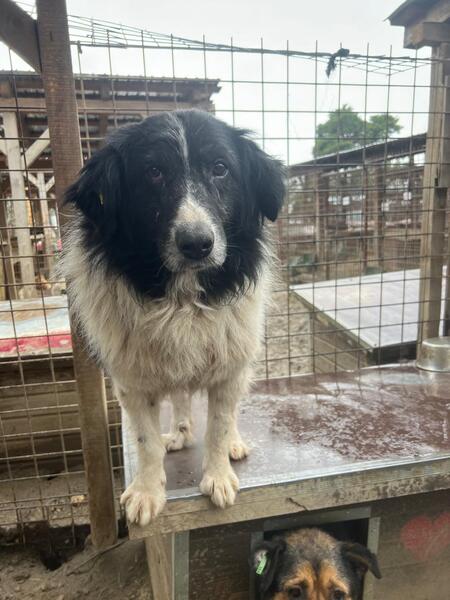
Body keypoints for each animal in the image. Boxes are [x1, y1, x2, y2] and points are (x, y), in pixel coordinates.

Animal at [60, 109, 285, 525]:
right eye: (153, 172)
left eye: (220, 168)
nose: (197, 244)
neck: (182, 298)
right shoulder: (131, 381)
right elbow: (145, 441)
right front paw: (148, 492)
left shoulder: (230, 366)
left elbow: (218, 425)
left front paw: (218, 476)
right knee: (180, 400)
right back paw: (178, 434)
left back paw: (233, 442)